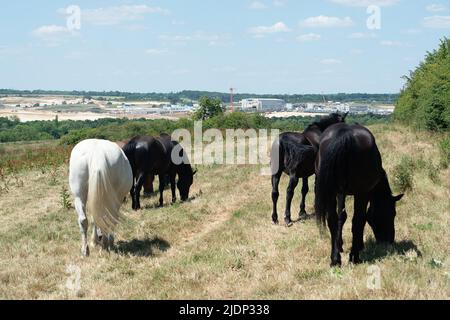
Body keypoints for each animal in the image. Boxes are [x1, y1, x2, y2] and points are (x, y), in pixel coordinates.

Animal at [312, 124, 404, 266]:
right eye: (392, 213)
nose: (389, 240)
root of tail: (345, 134)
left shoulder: (340, 192)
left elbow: (341, 217)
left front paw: (340, 245)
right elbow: (360, 218)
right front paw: (358, 245)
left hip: (332, 191)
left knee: (332, 220)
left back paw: (335, 259)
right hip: (361, 193)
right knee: (358, 220)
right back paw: (355, 257)